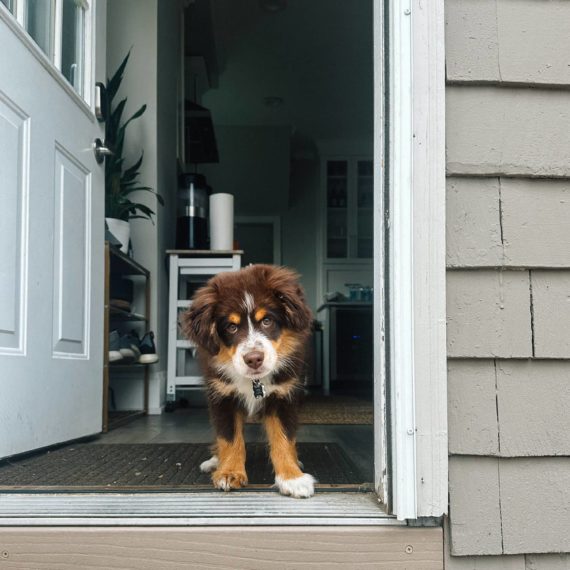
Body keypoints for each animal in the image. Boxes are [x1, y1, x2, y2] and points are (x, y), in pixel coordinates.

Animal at [181, 264, 316, 494]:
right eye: (231, 327)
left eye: (267, 321)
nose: (254, 359)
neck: (254, 381)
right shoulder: (222, 396)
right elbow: (229, 437)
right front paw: (229, 473)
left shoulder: (284, 395)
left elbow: (284, 437)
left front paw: (292, 478)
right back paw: (215, 461)